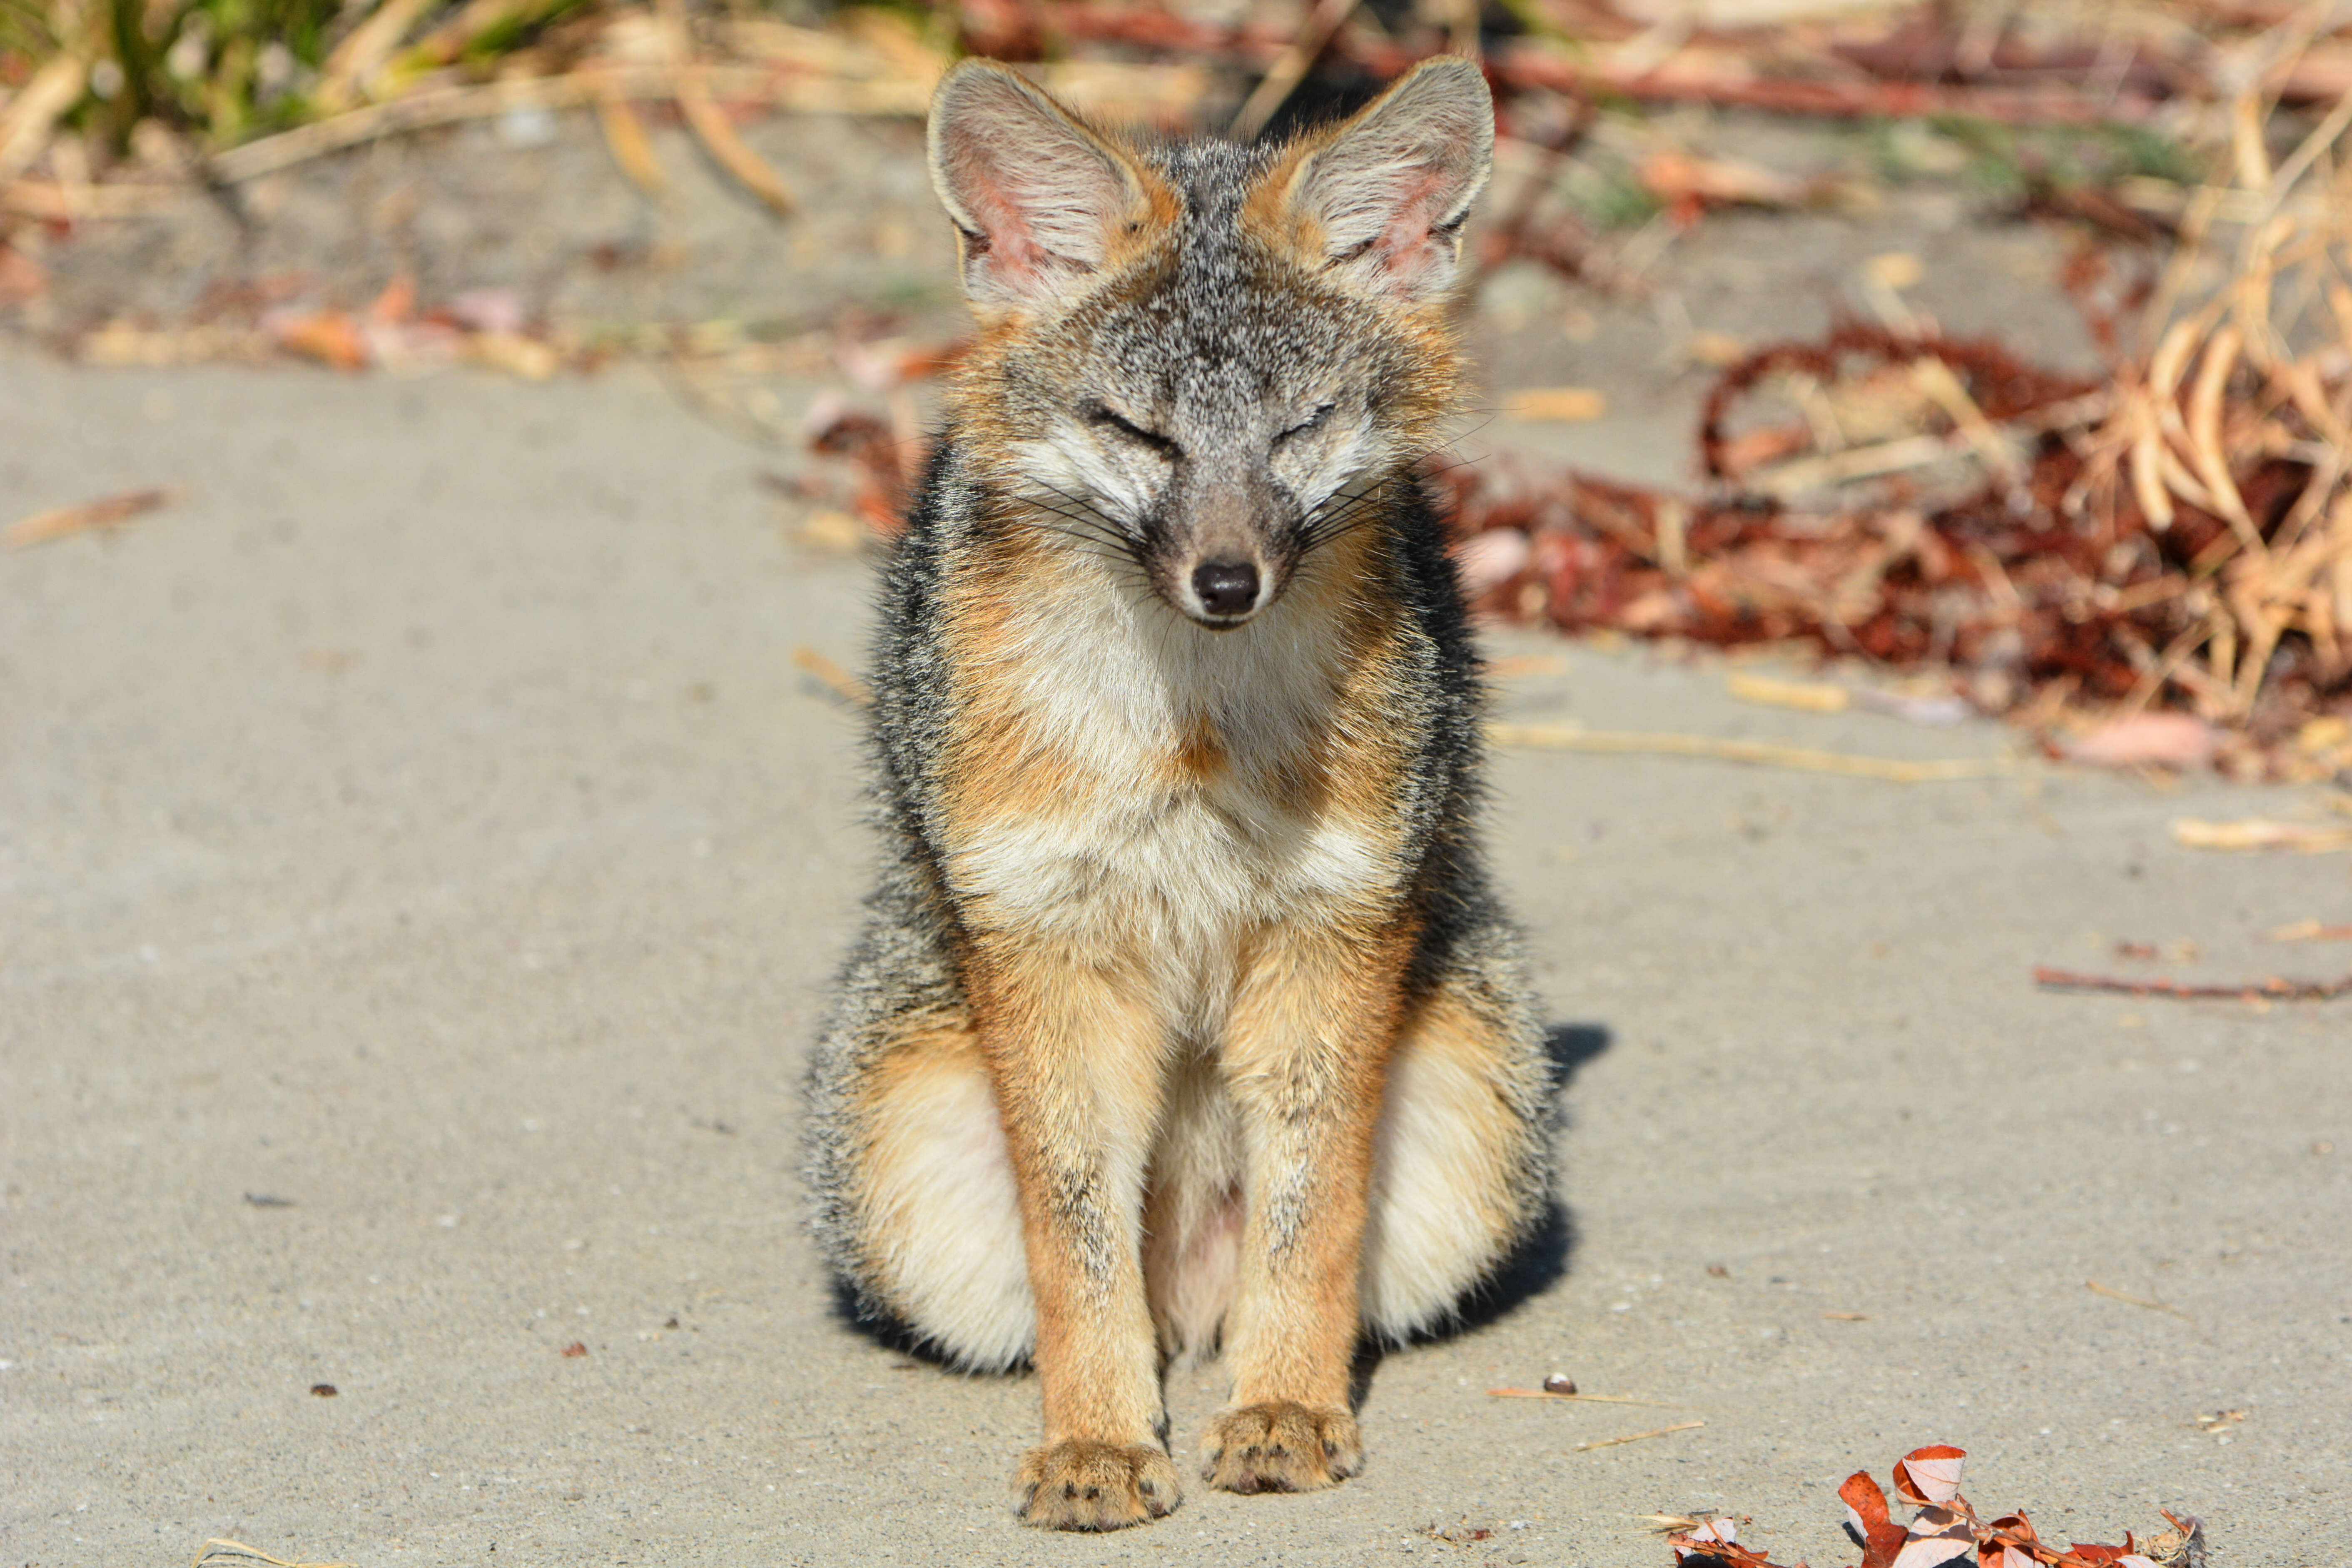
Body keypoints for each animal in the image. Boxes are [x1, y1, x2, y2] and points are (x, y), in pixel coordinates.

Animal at [800, 58, 1552, 1533]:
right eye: (1135, 430)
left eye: (1299, 425)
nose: (1225, 579)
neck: (1193, 736)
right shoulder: (1042, 938)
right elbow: (1077, 1241)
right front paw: (1094, 1436)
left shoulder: (1337, 929)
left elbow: (1310, 1220)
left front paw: (1286, 1406)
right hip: (902, 1159)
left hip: (1477, 1105)